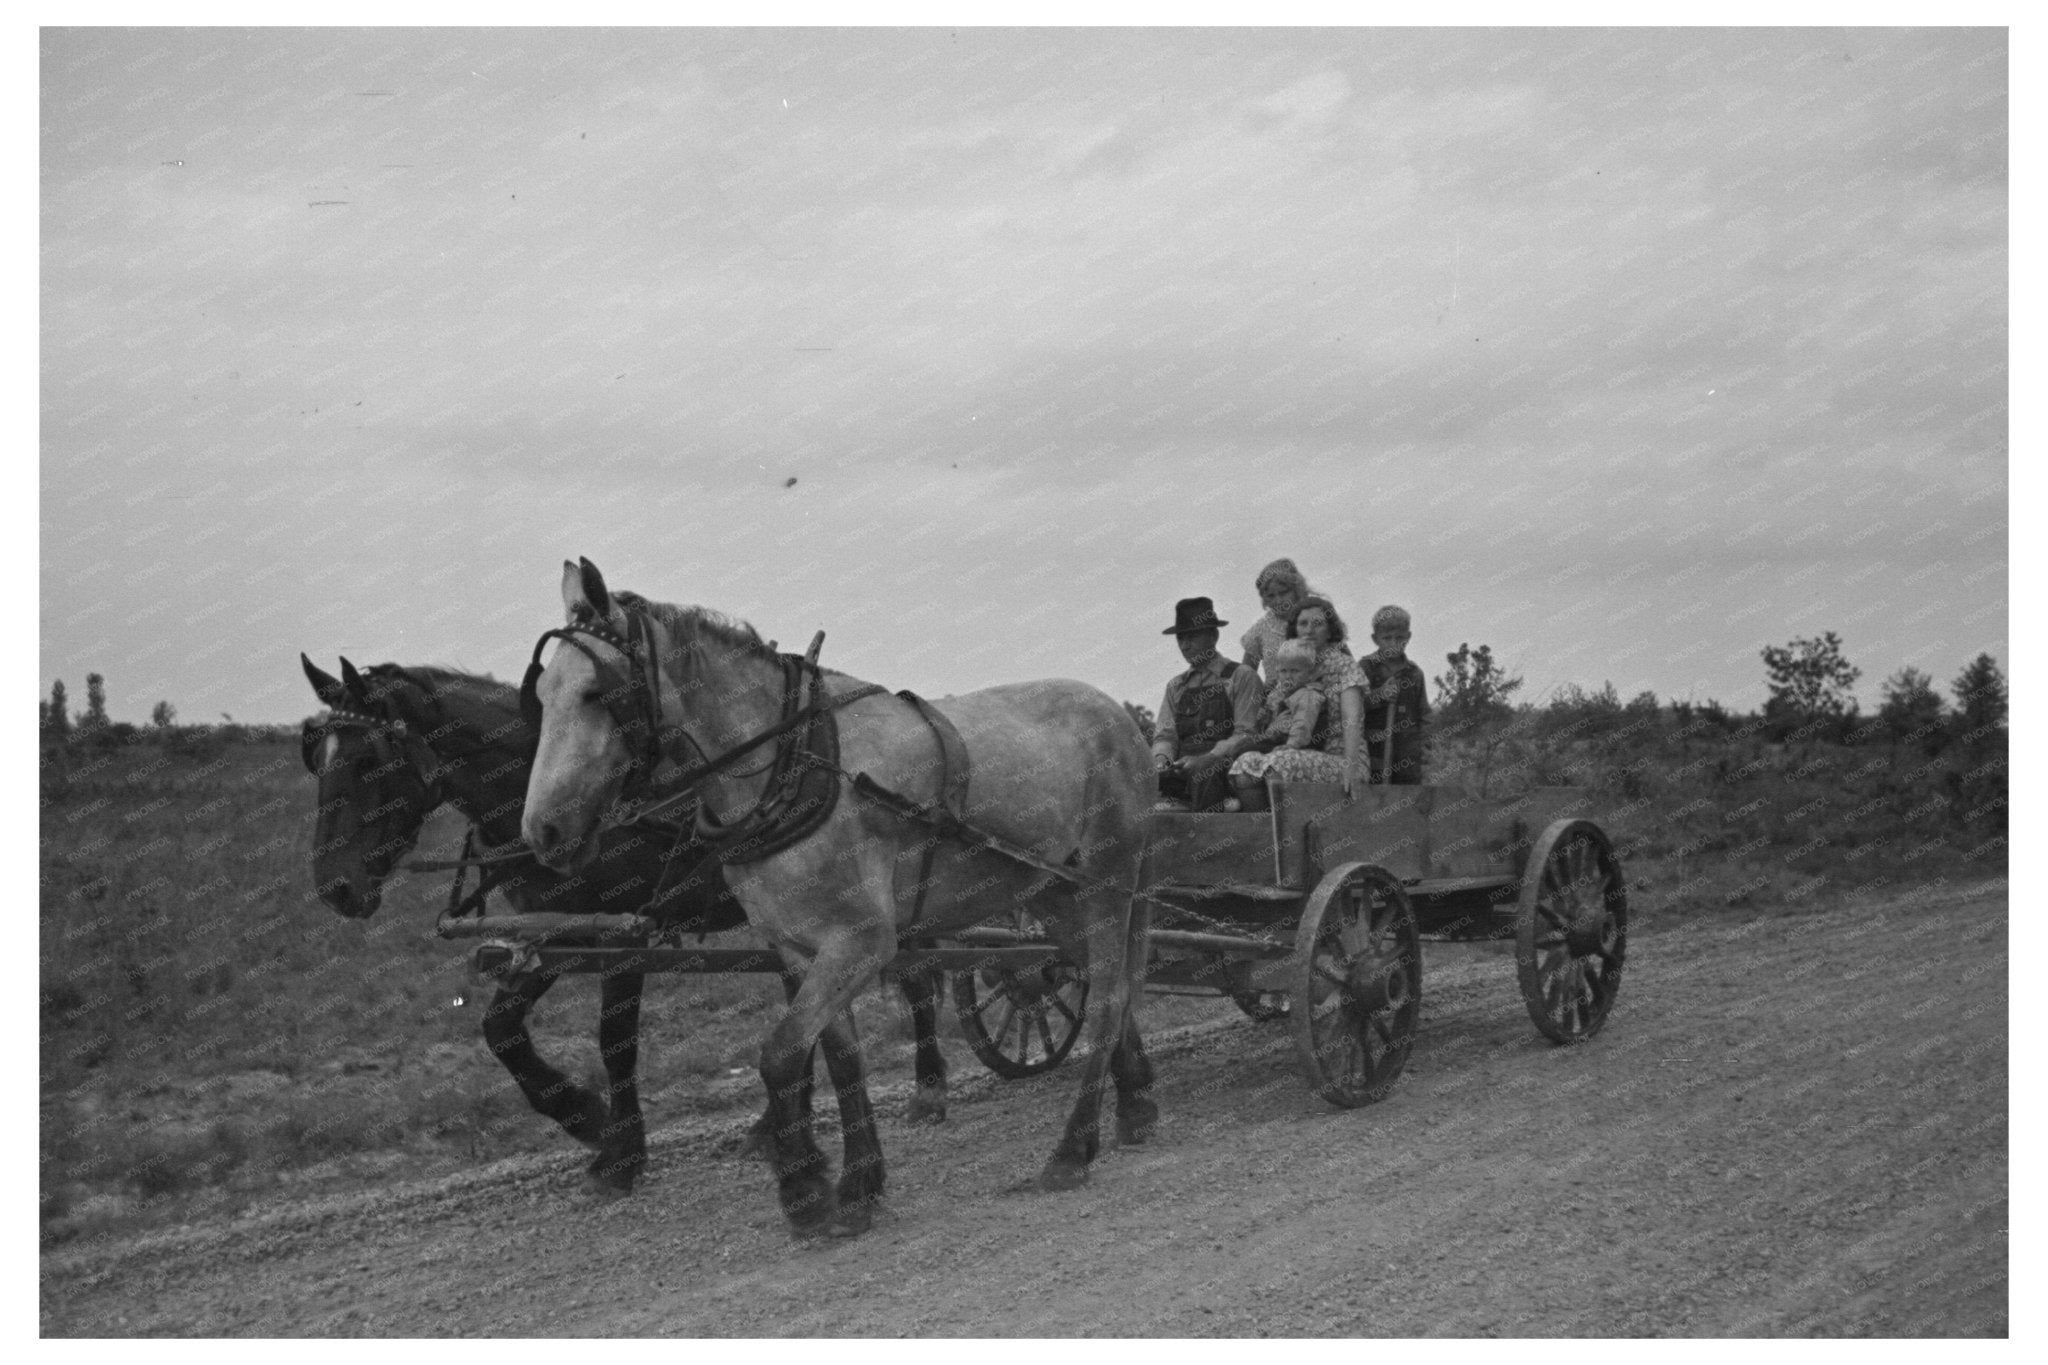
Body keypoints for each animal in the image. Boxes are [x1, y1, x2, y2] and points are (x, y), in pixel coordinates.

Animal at [299, 650, 950, 1195]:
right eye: (317, 763)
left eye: (366, 760)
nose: (335, 886)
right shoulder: (560, 929)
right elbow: (501, 1029)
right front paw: (584, 1117)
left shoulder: (622, 930)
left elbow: (615, 1042)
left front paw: (621, 1150)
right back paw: (777, 1123)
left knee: (913, 975)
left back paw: (928, 1087)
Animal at [520, 560, 1163, 1244]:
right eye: (543, 694)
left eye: (596, 693)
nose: (543, 832)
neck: (795, 760)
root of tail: (1118, 716)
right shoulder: (800, 948)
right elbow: (839, 1059)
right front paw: (858, 1186)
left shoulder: (860, 941)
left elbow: (780, 1055)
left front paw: (804, 1191)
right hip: (1055, 894)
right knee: (1104, 981)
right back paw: (1135, 1101)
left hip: (1107, 882)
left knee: (1109, 996)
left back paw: (1072, 1149)